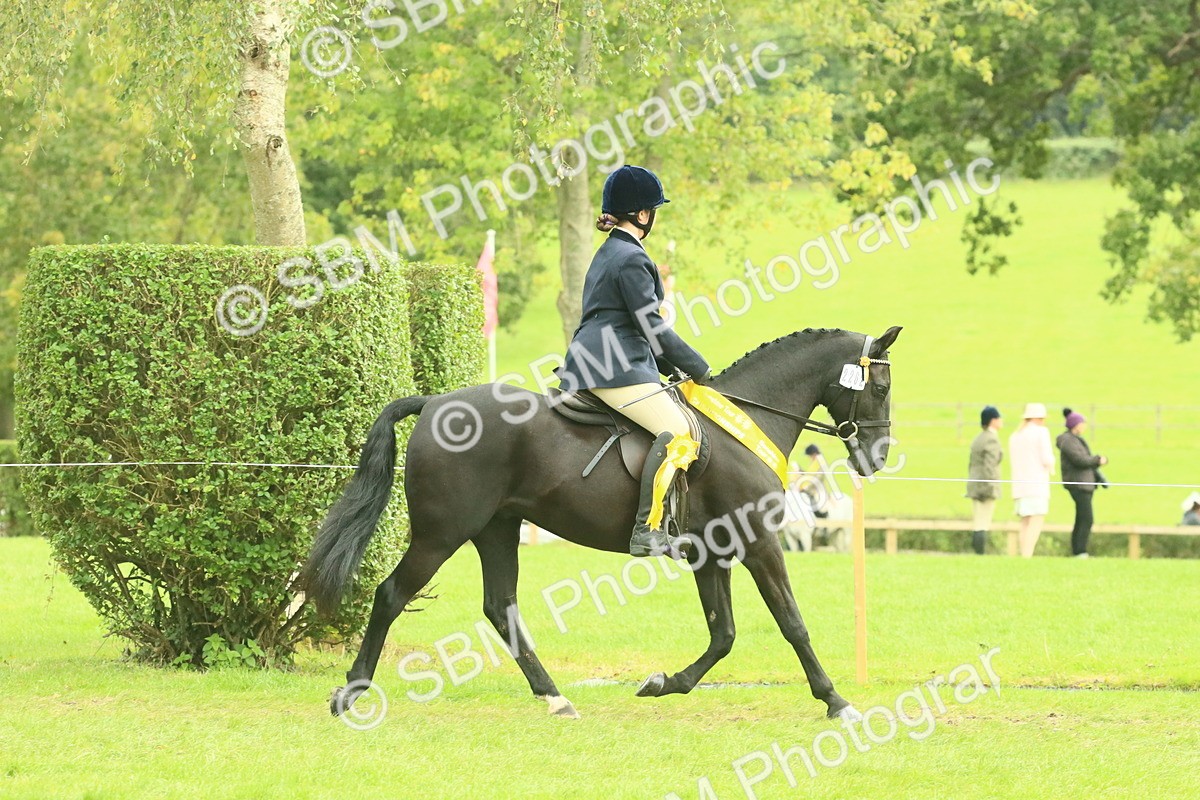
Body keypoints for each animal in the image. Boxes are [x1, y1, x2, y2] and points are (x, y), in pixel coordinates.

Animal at [301, 325, 901, 722]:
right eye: (882, 388)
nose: (877, 458)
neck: (748, 418)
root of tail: (433, 404)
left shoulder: (713, 551)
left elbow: (723, 633)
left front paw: (664, 683)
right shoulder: (758, 542)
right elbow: (791, 623)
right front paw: (837, 701)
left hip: (497, 529)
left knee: (500, 607)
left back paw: (555, 697)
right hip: (442, 534)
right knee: (390, 595)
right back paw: (351, 692)